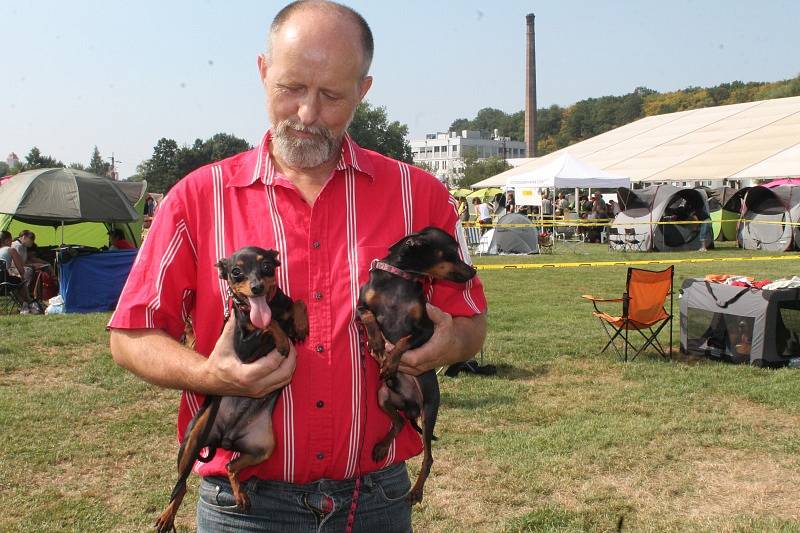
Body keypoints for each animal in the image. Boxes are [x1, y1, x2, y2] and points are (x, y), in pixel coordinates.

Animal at [155, 246, 308, 532]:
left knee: (229, 465)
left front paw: (301, 323)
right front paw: (280, 339)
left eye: (267, 266)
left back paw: (240, 493)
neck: (266, 307)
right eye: (236, 272)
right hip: (193, 440)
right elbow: (268, 324)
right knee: (180, 485)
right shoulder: (243, 349)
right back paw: (167, 515)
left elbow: (297, 303)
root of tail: (224, 437)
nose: (257, 287)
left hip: (263, 447)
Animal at [354, 224, 476, 502]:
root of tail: (409, 406)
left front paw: (389, 362)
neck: (399, 280)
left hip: (428, 409)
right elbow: (370, 318)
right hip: (382, 397)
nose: (474, 271)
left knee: (428, 458)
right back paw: (381, 446)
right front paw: (376, 344)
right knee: (398, 423)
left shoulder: (426, 330)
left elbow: (403, 341)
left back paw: (416, 491)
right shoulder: (360, 308)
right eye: (452, 252)